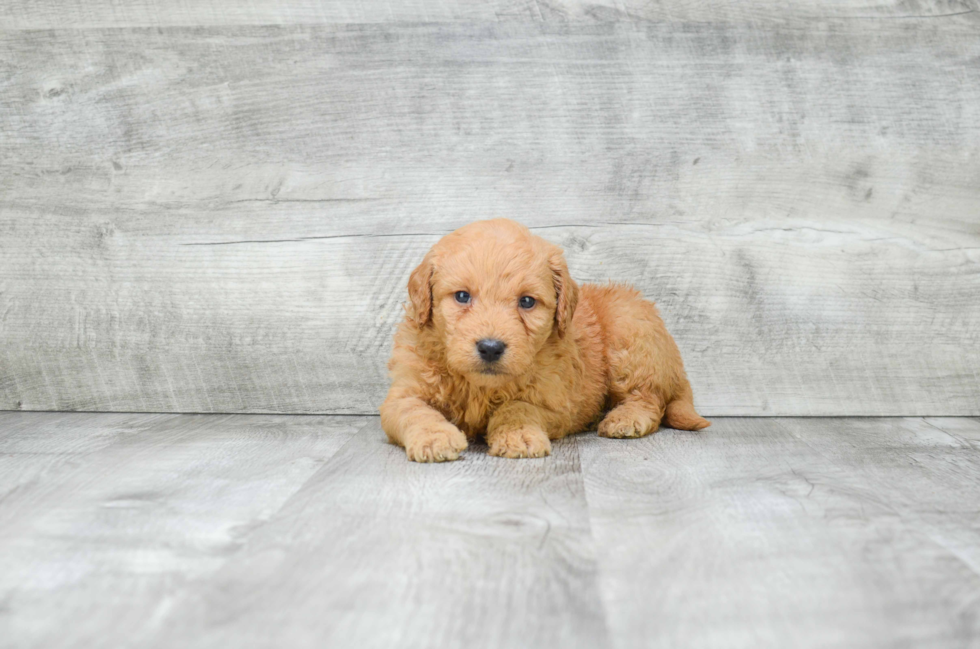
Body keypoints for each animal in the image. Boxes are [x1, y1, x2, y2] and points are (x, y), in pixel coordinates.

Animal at [378, 220, 708, 464]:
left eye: (527, 301)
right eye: (462, 296)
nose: (490, 348)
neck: (480, 387)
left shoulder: (556, 402)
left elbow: (518, 407)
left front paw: (518, 434)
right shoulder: (403, 393)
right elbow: (415, 411)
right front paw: (435, 438)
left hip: (630, 335)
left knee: (650, 397)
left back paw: (625, 419)